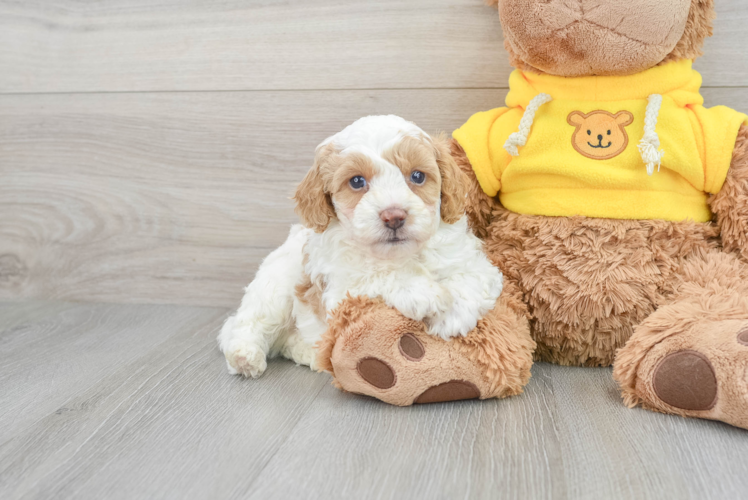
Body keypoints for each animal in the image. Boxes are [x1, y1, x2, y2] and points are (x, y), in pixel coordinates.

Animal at [219, 115, 506, 376]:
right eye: (357, 181)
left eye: (417, 176)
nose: (394, 216)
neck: (400, 255)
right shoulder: (340, 290)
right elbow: (376, 275)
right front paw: (425, 294)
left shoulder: (473, 262)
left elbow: (471, 279)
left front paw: (451, 316)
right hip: (274, 287)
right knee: (246, 323)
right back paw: (244, 356)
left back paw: (311, 354)